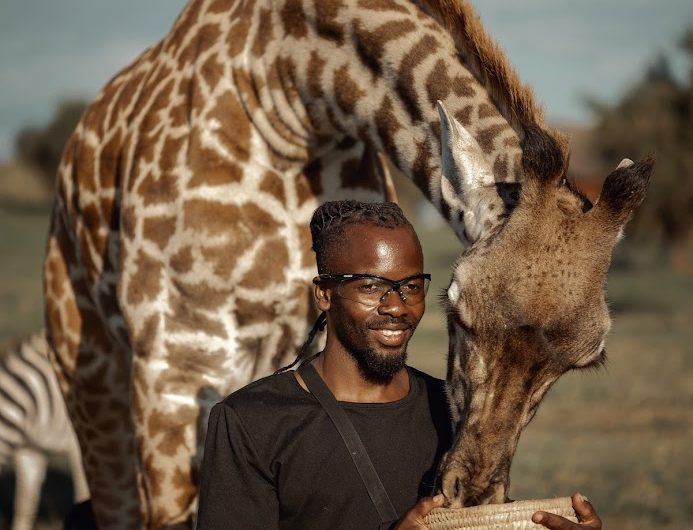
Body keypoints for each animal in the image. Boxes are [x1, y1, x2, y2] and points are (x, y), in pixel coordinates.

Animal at [42, 0, 648, 524]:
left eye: (584, 361)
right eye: (458, 312)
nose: (472, 495)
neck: (292, 85)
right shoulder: (177, 359)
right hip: (94, 375)